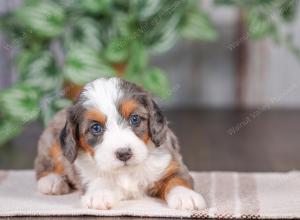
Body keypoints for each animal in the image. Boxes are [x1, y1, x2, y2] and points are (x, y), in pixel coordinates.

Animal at [34, 77, 205, 210]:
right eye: (96, 128)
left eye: (134, 119)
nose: (124, 154)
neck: (126, 172)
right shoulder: (85, 172)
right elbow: (98, 179)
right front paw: (100, 193)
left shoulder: (169, 164)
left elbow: (177, 179)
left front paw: (185, 196)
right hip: (50, 141)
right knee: (44, 164)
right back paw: (51, 181)